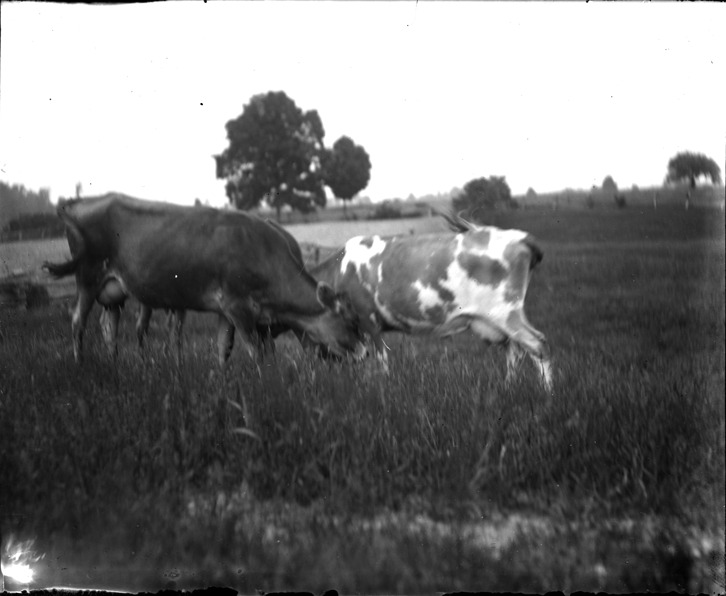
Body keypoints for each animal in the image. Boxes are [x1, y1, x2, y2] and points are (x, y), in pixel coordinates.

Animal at [44, 193, 366, 365]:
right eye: (352, 323)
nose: (365, 354)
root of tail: (78, 203)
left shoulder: (227, 311)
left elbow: (223, 349)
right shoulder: (239, 308)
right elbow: (256, 352)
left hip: (114, 290)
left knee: (108, 326)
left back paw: (114, 363)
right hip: (87, 276)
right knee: (78, 321)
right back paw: (81, 364)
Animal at [309, 212, 553, 390]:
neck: (340, 269)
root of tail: (522, 238)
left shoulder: (367, 318)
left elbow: (380, 359)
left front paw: (382, 387)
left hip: (505, 313)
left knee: (536, 343)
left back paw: (547, 394)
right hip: (500, 318)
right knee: (515, 349)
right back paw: (508, 387)